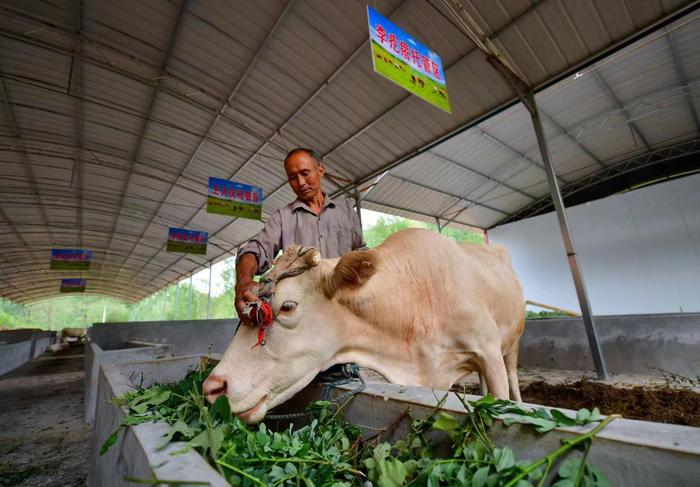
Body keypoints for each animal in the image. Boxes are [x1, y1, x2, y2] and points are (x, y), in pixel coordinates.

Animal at [205, 229, 524, 424]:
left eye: (287, 306)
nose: (212, 387)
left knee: (512, 375)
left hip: (512, 343)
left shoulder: (488, 351)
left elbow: (501, 392)